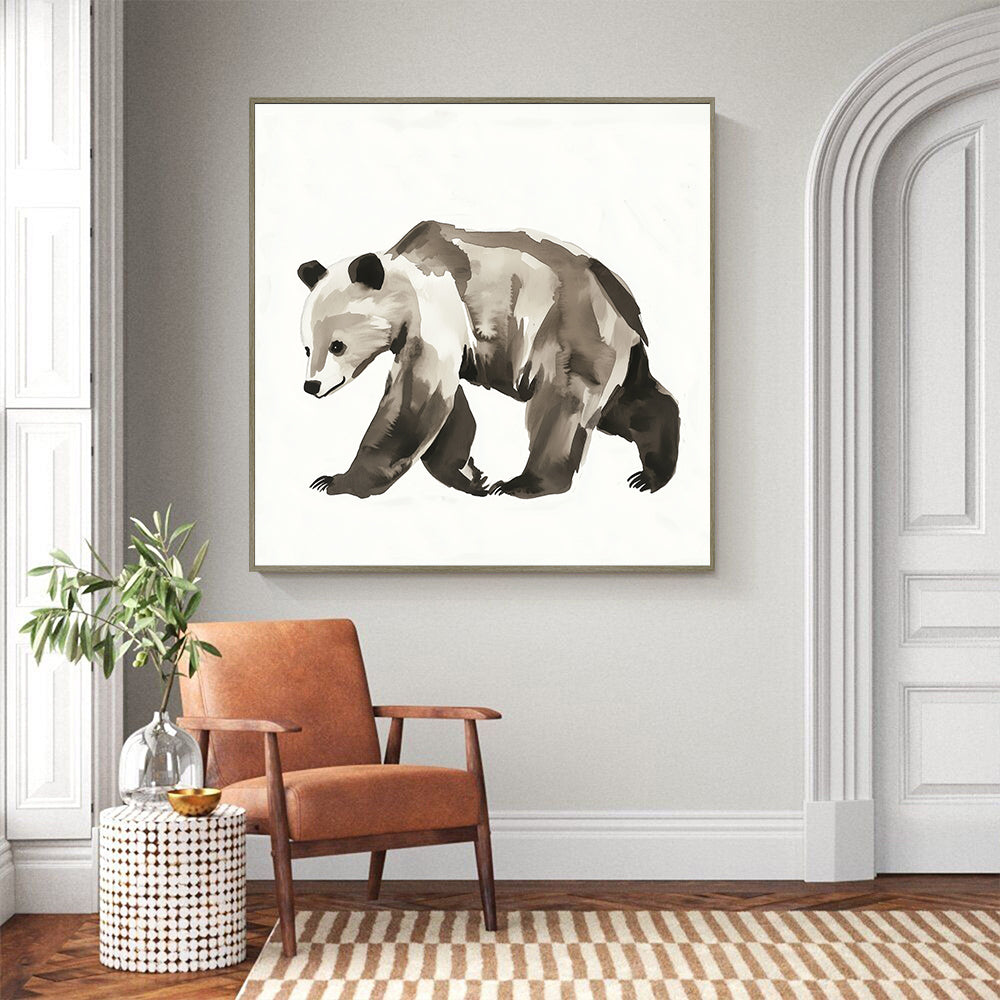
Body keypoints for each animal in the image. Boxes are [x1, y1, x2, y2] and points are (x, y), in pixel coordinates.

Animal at [297, 221, 680, 500]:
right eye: (306, 348)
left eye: (337, 346)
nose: (311, 385)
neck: (403, 282)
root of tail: (621, 298)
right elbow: (449, 408)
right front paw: (469, 475)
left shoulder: (437, 312)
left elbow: (414, 403)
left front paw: (336, 481)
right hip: (614, 349)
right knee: (629, 400)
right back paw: (653, 472)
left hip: (570, 330)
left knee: (562, 406)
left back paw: (525, 484)